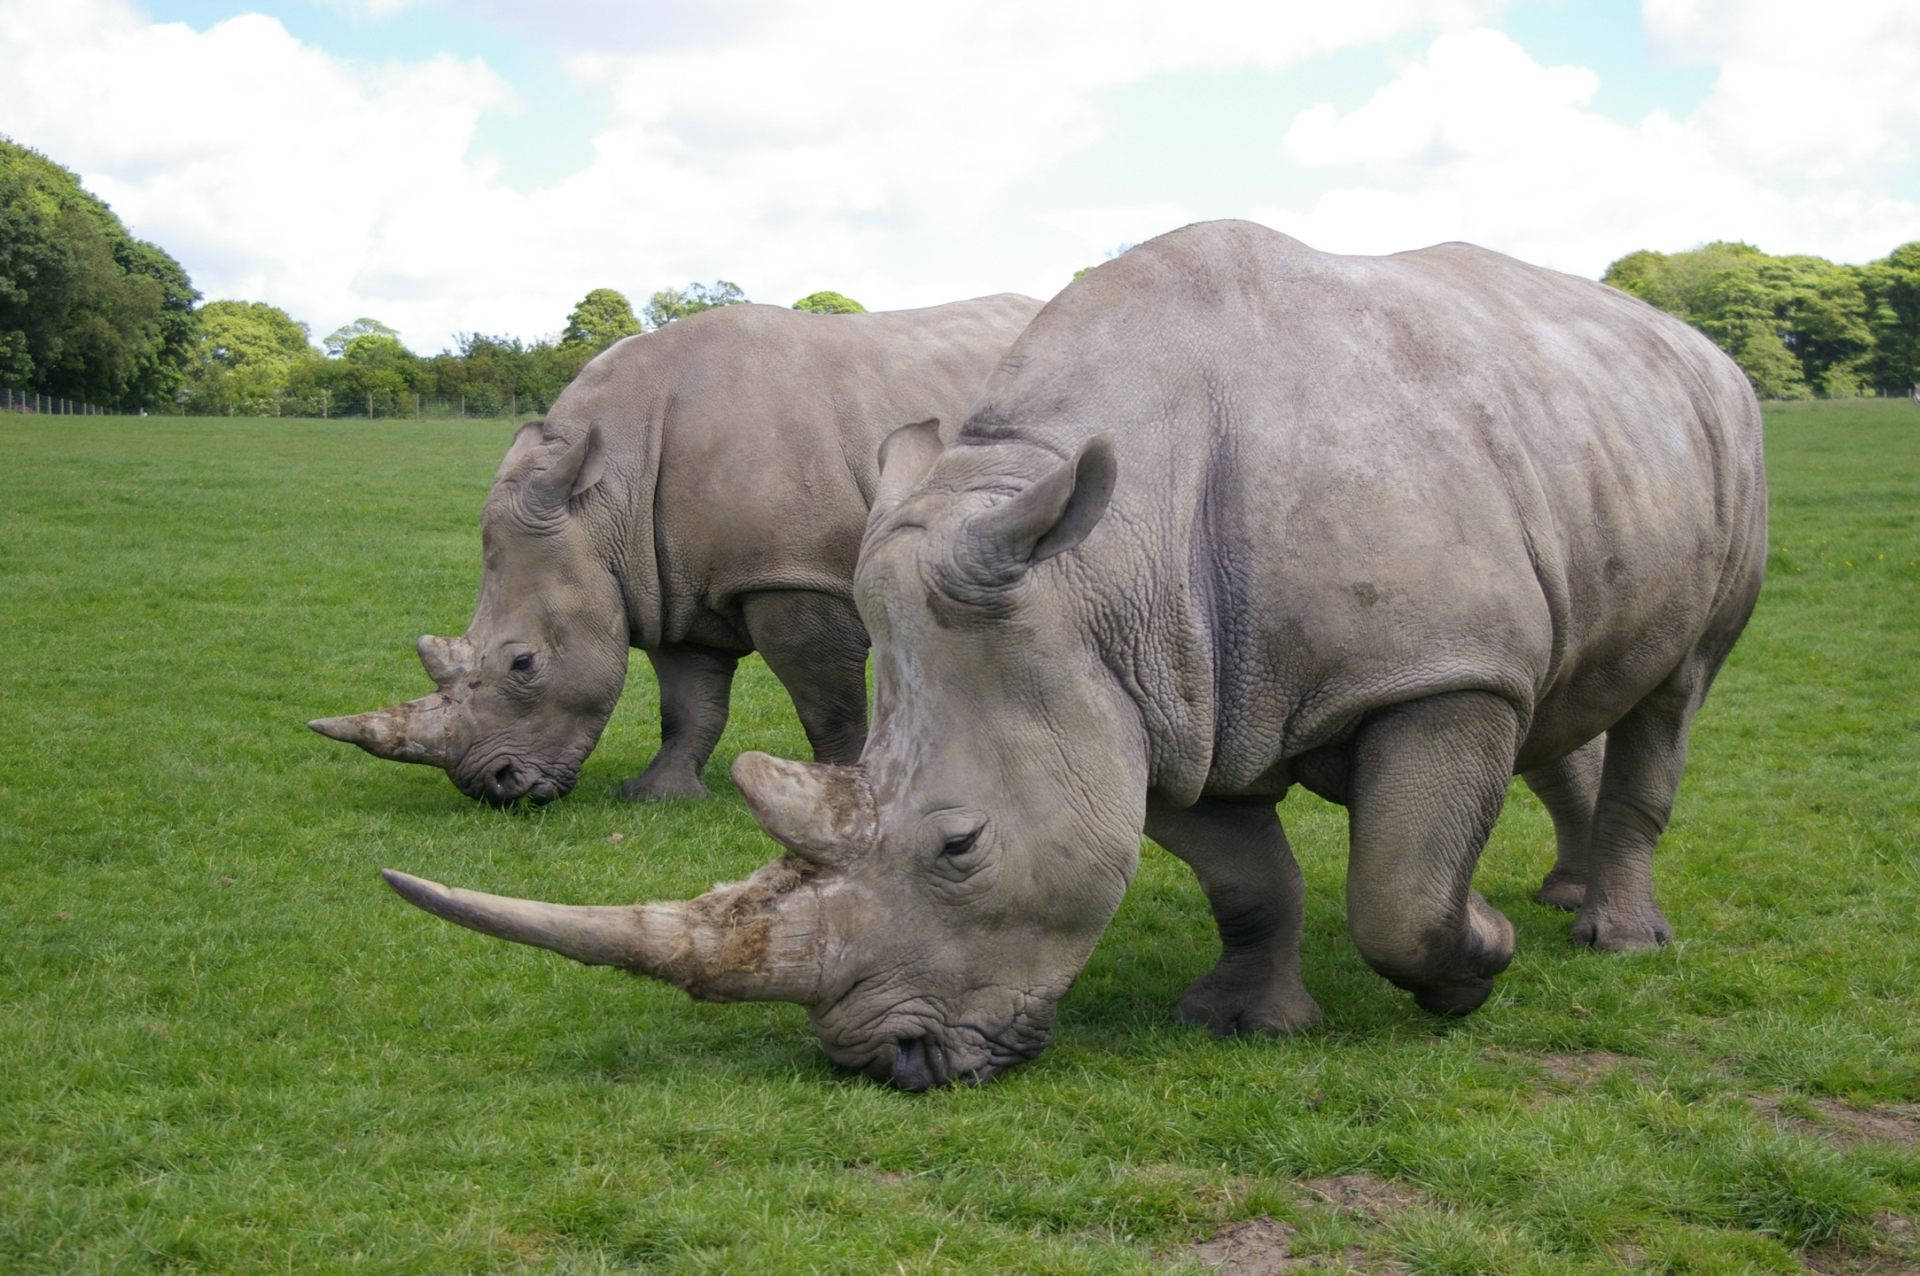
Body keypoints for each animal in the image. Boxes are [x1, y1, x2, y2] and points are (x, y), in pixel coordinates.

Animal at [310, 293, 1043, 804]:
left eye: (523, 663)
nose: (493, 786)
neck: (601, 499)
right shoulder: (663, 581)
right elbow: (687, 704)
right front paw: (656, 795)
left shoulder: (791, 573)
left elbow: (824, 696)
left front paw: (842, 788)